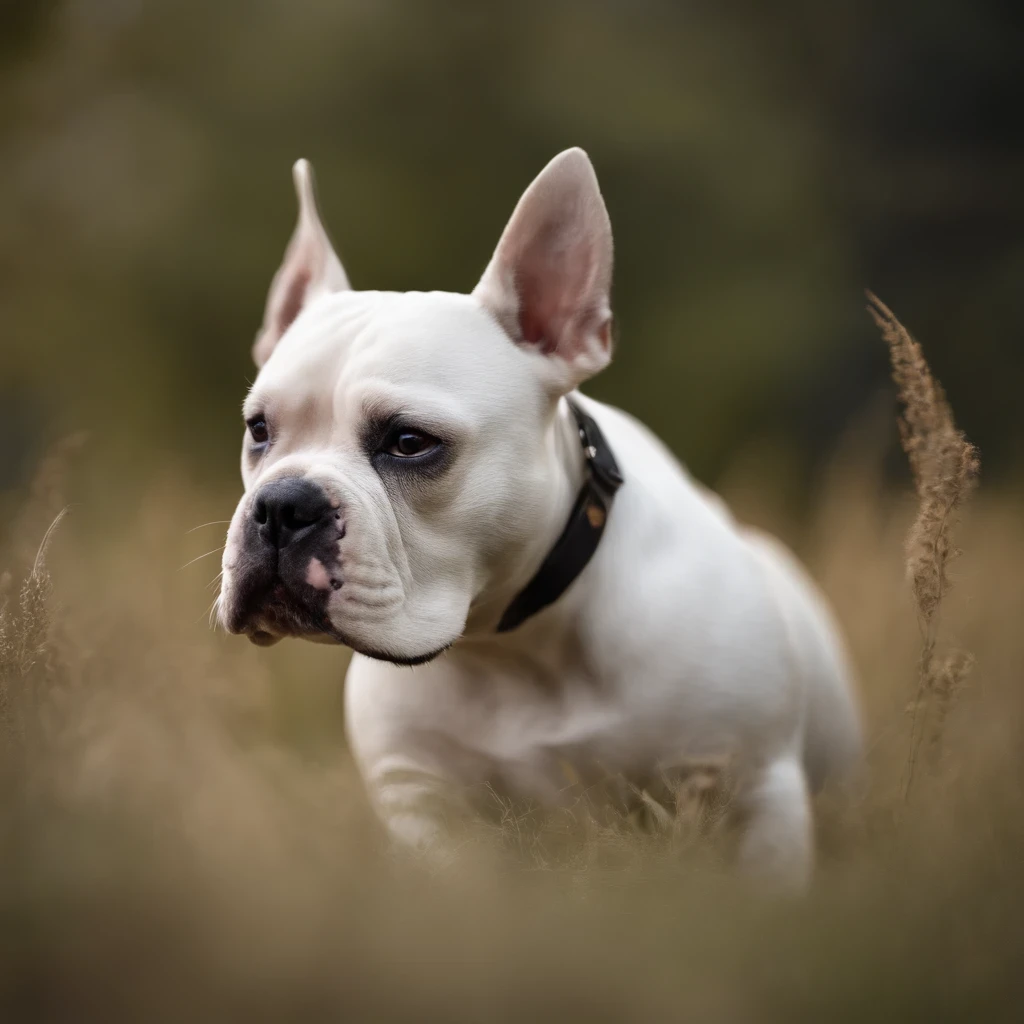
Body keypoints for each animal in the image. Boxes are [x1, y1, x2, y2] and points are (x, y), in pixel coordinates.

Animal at [220, 148, 860, 884]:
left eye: (410, 442)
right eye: (259, 430)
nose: (282, 505)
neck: (513, 644)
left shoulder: (753, 790)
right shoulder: (423, 803)